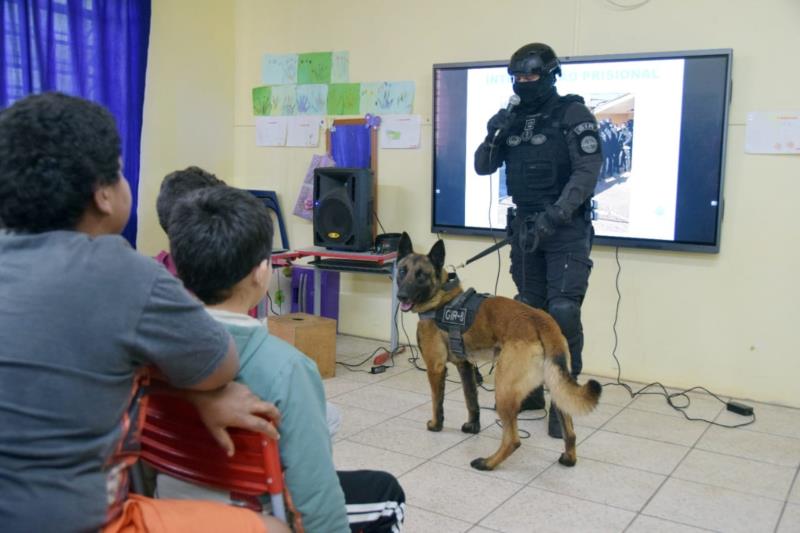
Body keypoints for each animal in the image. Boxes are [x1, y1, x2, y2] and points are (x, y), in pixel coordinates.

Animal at [394, 233, 600, 470]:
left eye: (421, 275)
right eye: (402, 271)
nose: (401, 296)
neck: (440, 299)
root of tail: (541, 320)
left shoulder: (435, 368)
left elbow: (437, 402)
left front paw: (436, 425)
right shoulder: (465, 366)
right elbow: (471, 400)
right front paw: (472, 427)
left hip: (504, 388)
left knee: (513, 440)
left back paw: (487, 463)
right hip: (554, 385)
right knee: (571, 431)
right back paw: (568, 457)